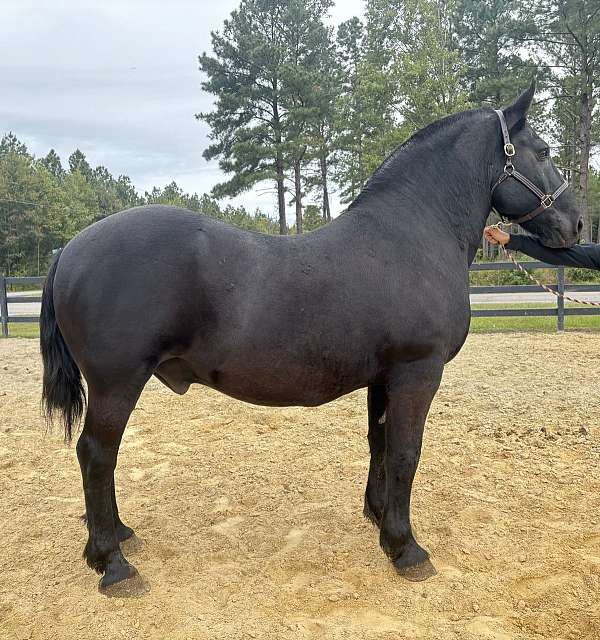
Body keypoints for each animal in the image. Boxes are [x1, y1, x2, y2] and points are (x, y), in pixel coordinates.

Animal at [39, 82, 580, 592]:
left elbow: (380, 443)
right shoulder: (417, 371)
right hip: (117, 381)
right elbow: (406, 453)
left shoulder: (385, 376)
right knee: (96, 454)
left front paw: (379, 520)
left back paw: (116, 535)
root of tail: (70, 248)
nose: (575, 224)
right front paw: (406, 548)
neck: (412, 237)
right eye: (544, 150)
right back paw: (112, 562)